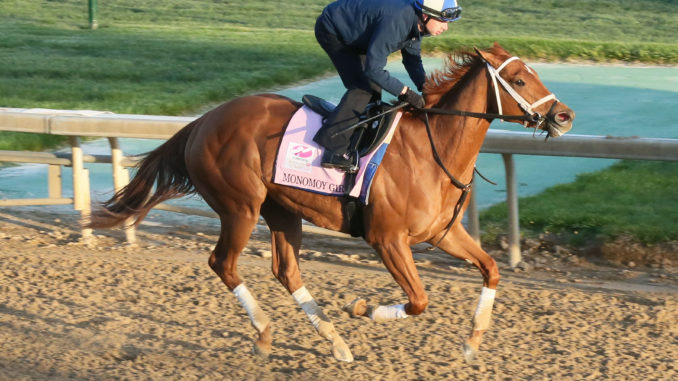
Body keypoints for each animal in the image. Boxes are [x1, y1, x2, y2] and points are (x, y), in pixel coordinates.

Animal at [89, 44, 572, 362]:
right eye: (519, 79)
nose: (563, 116)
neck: (431, 149)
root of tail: (202, 121)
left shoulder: (443, 232)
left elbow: (490, 269)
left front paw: (472, 344)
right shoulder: (386, 239)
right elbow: (418, 300)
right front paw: (361, 307)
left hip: (281, 211)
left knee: (286, 270)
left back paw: (336, 343)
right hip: (240, 207)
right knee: (223, 263)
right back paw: (265, 334)